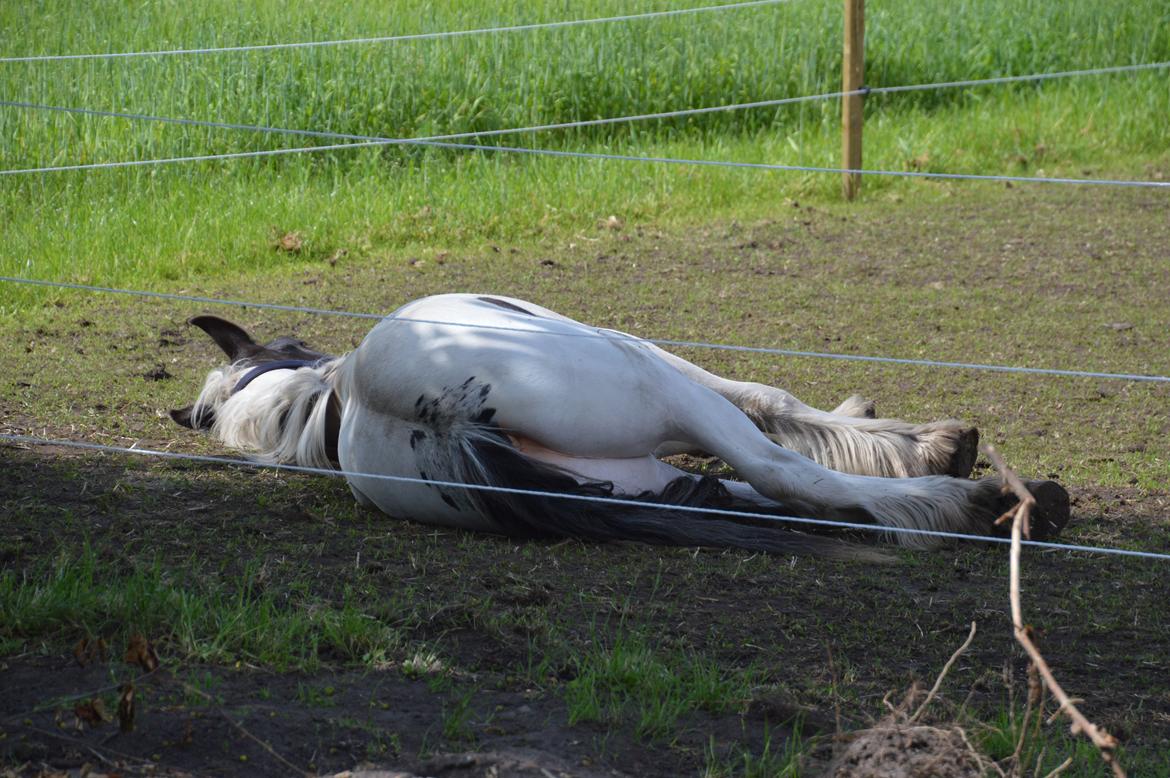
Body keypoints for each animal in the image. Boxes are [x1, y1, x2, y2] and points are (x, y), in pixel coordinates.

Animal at [167, 292, 1071, 559]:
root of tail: (441, 414)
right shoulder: (663, 370)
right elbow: (770, 402)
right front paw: (924, 446)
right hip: (650, 380)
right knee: (783, 474)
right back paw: (971, 502)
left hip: (637, 467)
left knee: (767, 493)